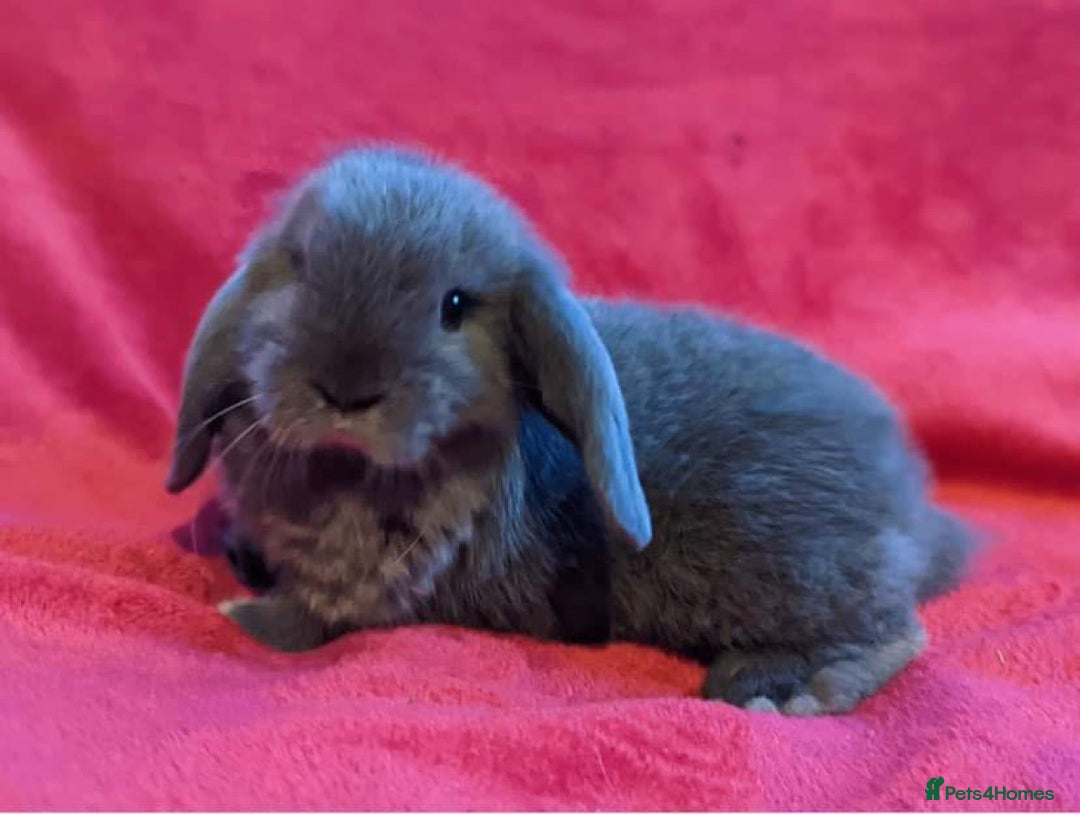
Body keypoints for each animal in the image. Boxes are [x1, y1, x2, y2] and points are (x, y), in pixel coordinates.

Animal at [165, 146, 976, 714]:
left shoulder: (382, 578)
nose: (345, 390)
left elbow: (307, 622)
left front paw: (239, 613)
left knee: (897, 630)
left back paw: (779, 687)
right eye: (299, 268)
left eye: (455, 307)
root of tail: (911, 501)